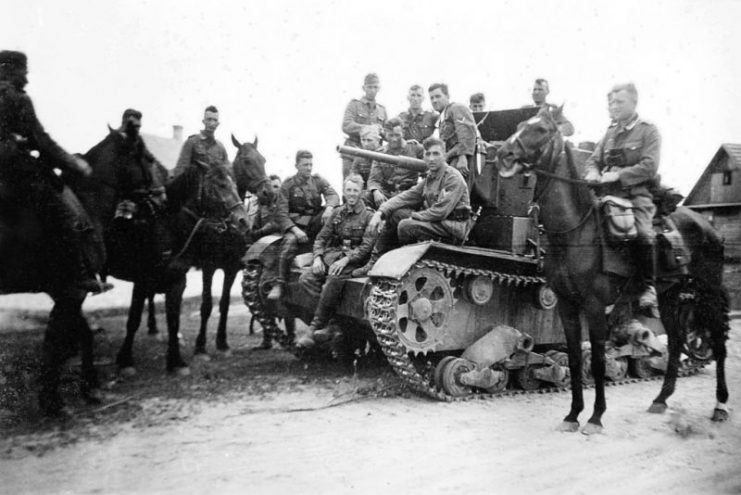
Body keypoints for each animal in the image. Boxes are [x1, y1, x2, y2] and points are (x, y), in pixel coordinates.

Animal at [494, 107, 732, 434]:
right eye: (520, 124)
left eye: (541, 129)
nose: (503, 154)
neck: (575, 231)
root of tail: (708, 227)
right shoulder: (566, 305)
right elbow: (574, 360)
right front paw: (573, 414)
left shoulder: (595, 306)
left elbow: (597, 361)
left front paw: (595, 417)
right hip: (669, 296)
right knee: (674, 342)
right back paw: (661, 399)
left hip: (706, 292)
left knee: (717, 341)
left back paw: (720, 405)